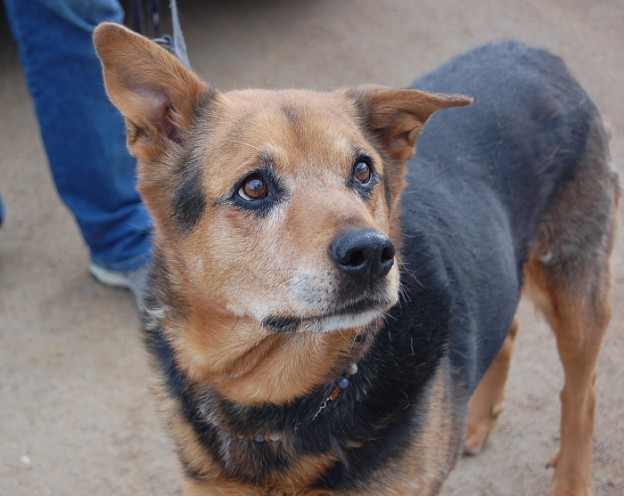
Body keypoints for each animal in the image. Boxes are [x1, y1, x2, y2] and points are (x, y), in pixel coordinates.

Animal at [94, 23, 619, 496]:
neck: (273, 401)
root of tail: (536, 53)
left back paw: (571, 479)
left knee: (583, 394)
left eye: (363, 171)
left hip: (575, 290)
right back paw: (474, 421)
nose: (372, 253)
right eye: (254, 186)